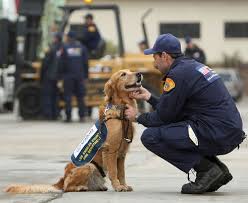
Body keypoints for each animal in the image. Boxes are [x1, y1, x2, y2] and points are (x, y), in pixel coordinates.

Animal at [4, 70, 141, 193]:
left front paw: (124, 185)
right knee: (66, 187)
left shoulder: (122, 154)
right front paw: (118, 187)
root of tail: (61, 179)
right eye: (123, 74)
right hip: (88, 166)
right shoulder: (111, 150)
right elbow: (114, 172)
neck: (121, 113)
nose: (139, 74)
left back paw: (98, 187)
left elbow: (121, 173)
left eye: (130, 71)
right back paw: (80, 187)